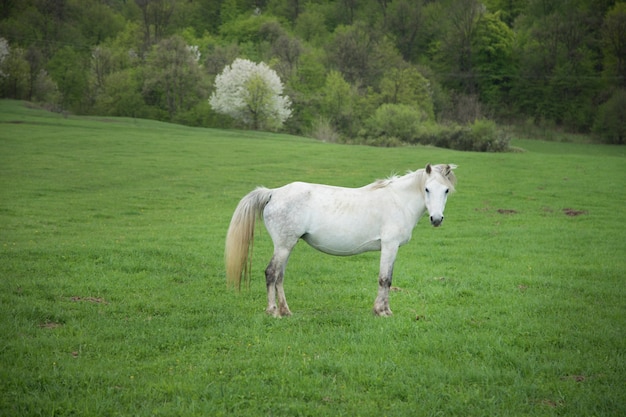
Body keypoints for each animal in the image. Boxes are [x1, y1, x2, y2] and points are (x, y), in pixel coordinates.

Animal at [223, 162, 454, 316]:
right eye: (427, 189)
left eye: (446, 190)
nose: (436, 219)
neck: (398, 200)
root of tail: (273, 193)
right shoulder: (390, 246)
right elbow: (385, 279)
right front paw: (382, 311)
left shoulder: (392, 248)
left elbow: (388, 278)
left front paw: (383, 309)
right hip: (283, 246)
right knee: (271, 273)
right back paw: (273, 311)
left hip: (287, 246)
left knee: (279, 276)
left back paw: (286, 311)